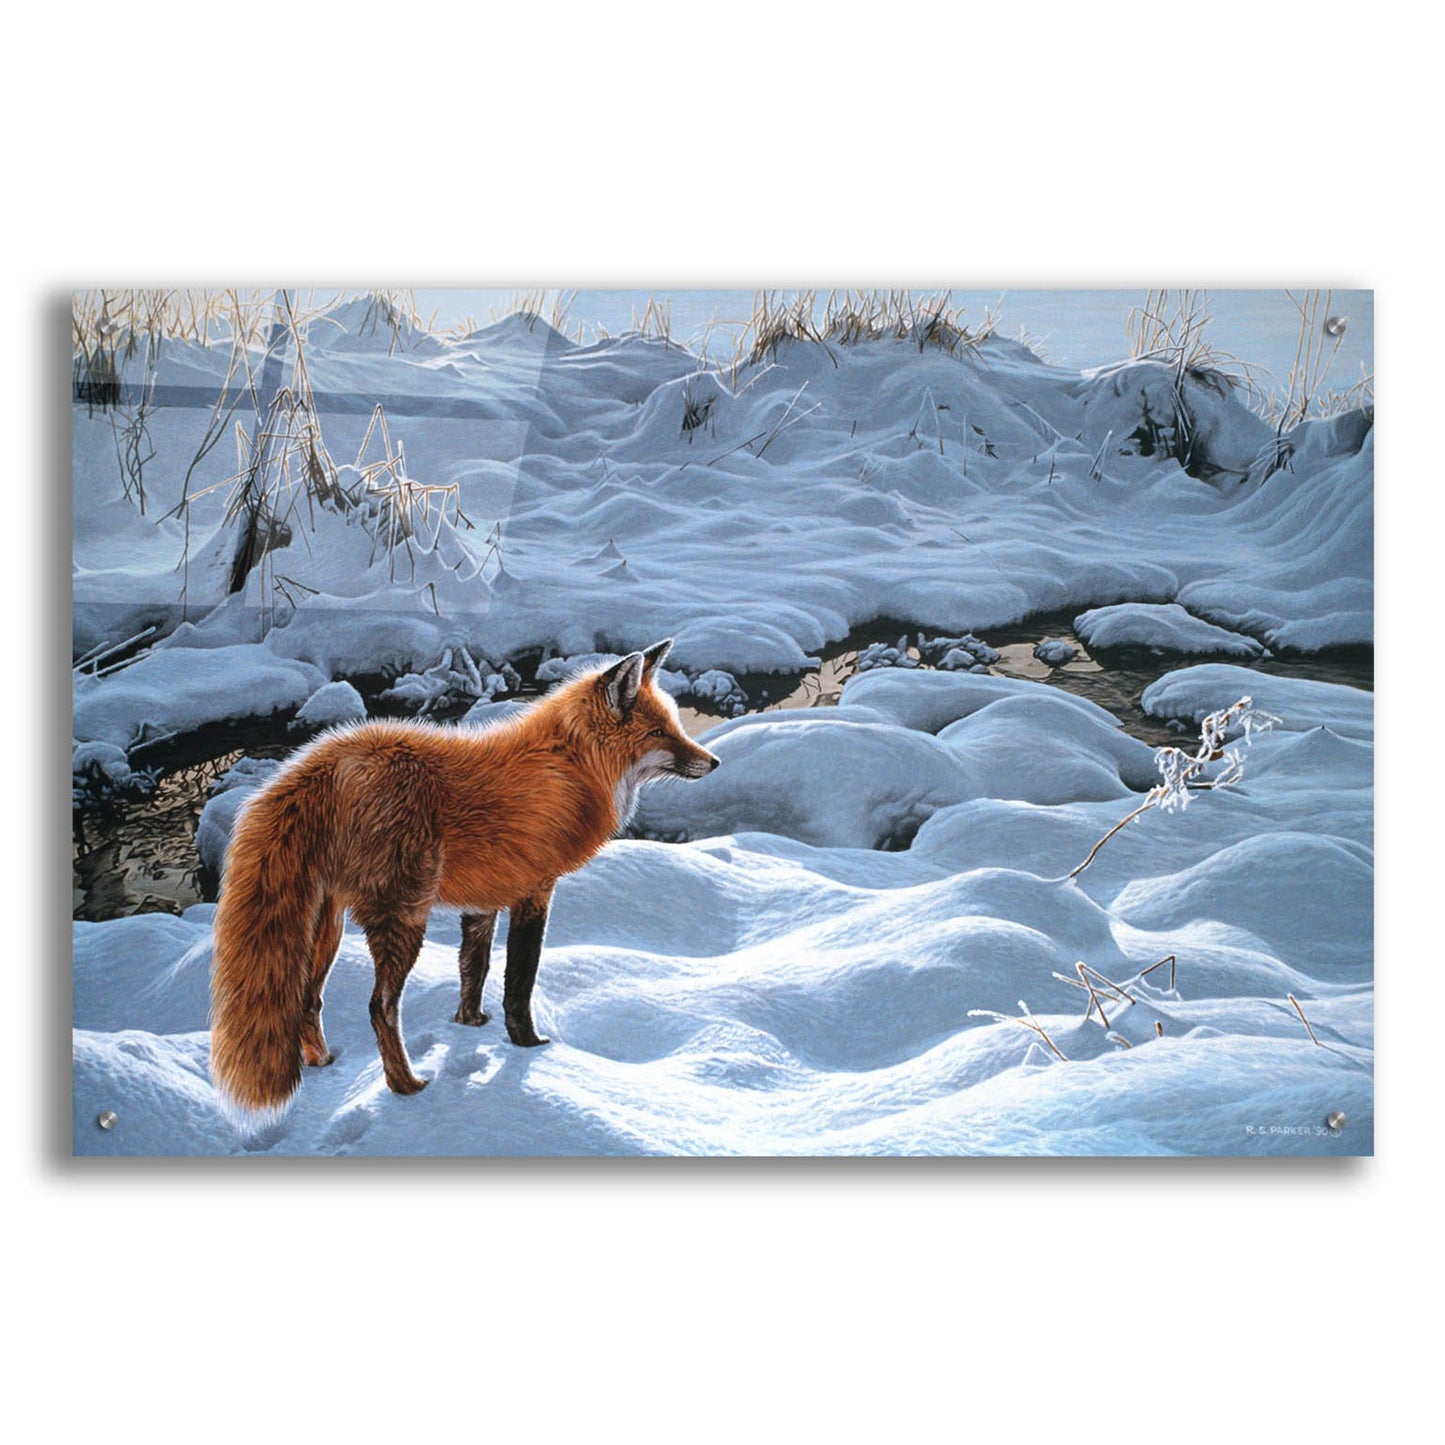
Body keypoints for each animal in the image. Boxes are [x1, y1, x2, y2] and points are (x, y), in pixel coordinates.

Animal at [209, 638, 718, 1121]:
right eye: (658, 733)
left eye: (674, 726)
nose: (712, 762)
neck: (569, 769)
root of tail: (319, 762)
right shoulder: (534, 891)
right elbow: (519, 980)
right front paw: (526, 1044)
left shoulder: (485, 899)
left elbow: (475, 968)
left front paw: (469, 1023)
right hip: (403, 918)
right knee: (378, 1007)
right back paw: (405, 1086)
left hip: (326, 924)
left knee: (307, 1001)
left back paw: (323, 1064)